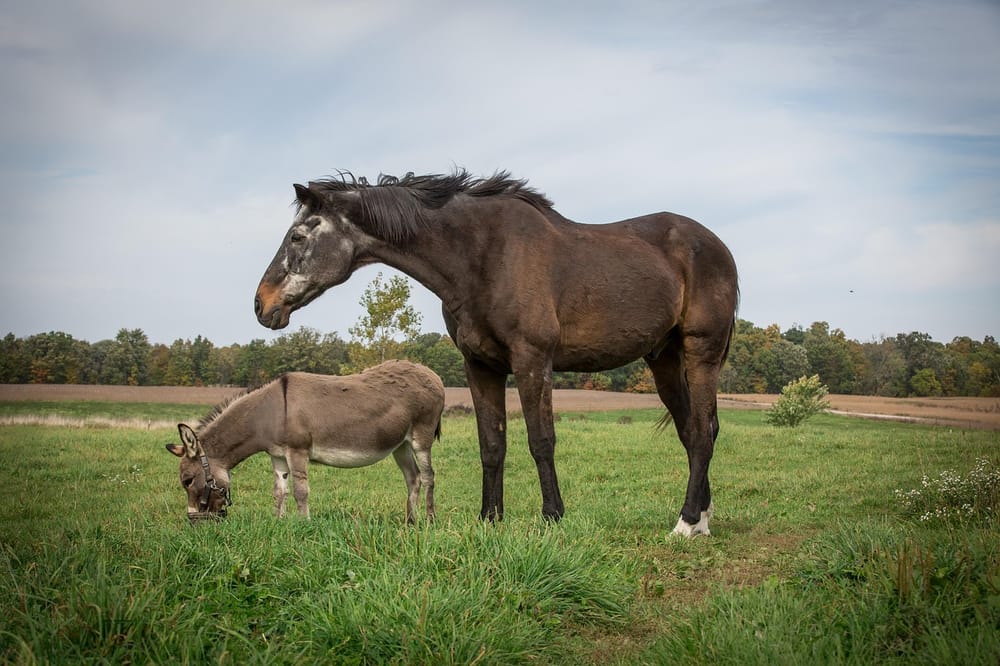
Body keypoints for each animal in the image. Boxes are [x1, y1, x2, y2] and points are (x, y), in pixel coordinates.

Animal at [164, 360, 445, 523]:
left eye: (187, 481)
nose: (193, 522)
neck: (267, 413)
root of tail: (433, 374)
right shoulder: (277, 456)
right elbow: (279, 492)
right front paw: (278, 523)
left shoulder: (296, 451)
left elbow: (300, 491)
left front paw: (303, 525)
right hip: (400, 445)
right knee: (413, 478)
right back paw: (410, 522)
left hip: (421, 437)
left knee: (429, 476)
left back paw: (429, 520)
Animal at [254, 170, 738, 536]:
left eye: (297, 236)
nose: (261, 304)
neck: (484, 256)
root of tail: (717, 246)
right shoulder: (480, 366)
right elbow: (492, 444)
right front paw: (489, 517)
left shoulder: (532, 361)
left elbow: (541, 440)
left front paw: (553, 516)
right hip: (664, 359)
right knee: (692, 431)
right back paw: (702, 517)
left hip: (701, 351)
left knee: (701, 431)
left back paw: (686, 523)